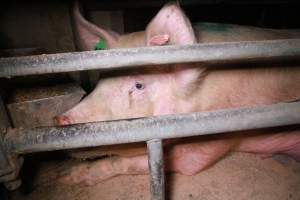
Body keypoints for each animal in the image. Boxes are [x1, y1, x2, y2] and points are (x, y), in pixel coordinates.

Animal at [55, 1, 300, 186]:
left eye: (139, 85)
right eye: (101, 79)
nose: (60, 119)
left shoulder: (224, 128)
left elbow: (182, 162)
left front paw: (67, 177)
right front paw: (66, 176)